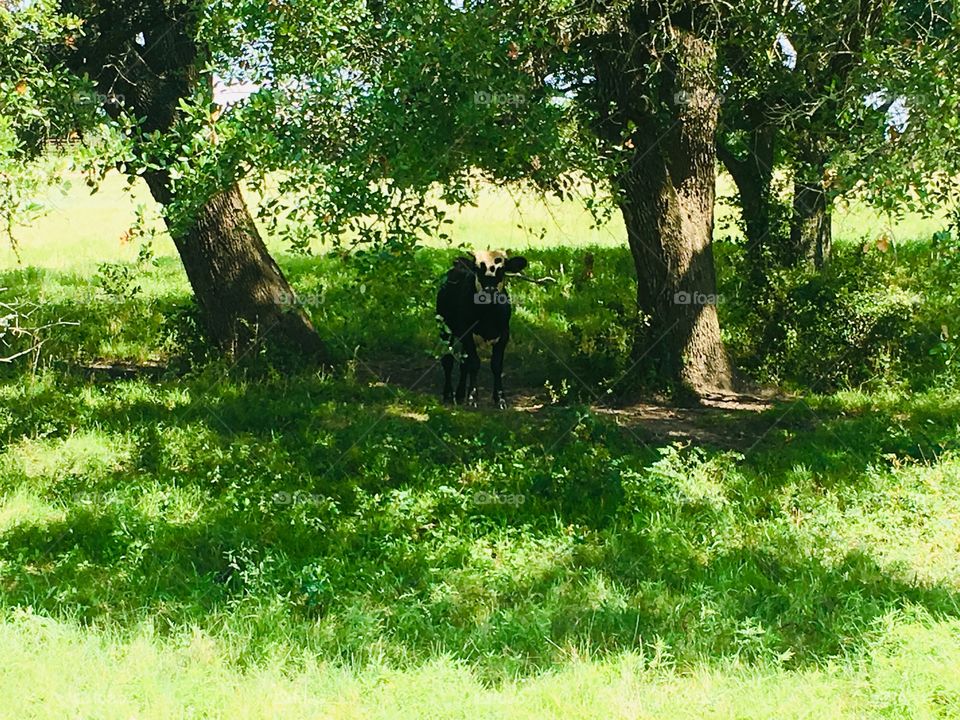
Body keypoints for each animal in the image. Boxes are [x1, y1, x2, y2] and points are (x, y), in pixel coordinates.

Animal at [436, 249, 528, 408]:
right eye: (478, 270)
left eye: (502, 269)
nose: (489, 291)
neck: (488, 316)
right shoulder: (467, 333)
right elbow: (474, 363)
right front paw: (473, 397)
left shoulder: (504, 334)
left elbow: (496, 365)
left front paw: (500, 398)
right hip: (444, 328)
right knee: (448, 361)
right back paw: (448, 394)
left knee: (463, 363)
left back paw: (460, 394)